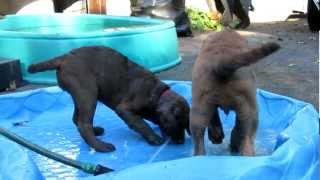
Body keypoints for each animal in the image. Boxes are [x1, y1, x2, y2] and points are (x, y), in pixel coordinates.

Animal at [28, 45, 190, 153]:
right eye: (178, 123)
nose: (181, 142)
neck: (157, 93)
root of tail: (65, 57)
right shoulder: (124, 109)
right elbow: (141, 123)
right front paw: (154, 138)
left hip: (80, 95)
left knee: (76, 118)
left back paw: (96, 131)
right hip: (88, 93)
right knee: (83, 124)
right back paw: (101, 146)